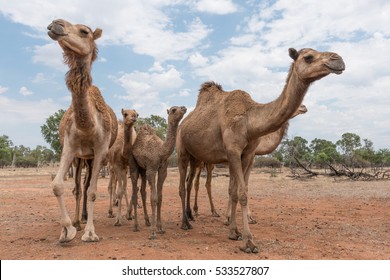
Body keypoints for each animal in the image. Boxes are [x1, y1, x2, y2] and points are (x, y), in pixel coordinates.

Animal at [47, 19, 117, 243]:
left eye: (85, 31)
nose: (55, 24)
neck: (87, 125)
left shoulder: (101, 150)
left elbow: (93, 191)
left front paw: (90, 232)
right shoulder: (69, 147)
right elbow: (58, 185)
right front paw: (67, 229)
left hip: (91, 158)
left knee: (86, 187)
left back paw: (84, 220)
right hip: (80, 159)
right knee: (78, 187)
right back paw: (78, 221)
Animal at [129, 106, 187, 240]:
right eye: (173, 110)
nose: (184, 108)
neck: (161, 152)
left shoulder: (162, 170)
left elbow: (160, 197)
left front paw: (160, 228)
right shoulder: (151, 169)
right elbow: (154, 198)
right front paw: (153, 232)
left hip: (143, 170)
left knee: (142, 191)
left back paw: (147, 221)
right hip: (134, 166)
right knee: (134, 192)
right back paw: (136, 226)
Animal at [177, 47, 344, 253]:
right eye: (308, 57)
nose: (338, 59)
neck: (250, 120)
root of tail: (183, 124)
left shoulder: (247, 154)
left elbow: (235, 191)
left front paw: (234, 231)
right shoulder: (233, 151)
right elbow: (241, 193)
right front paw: (249, 241)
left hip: (197, 157)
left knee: (190, 182)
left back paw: (192, 215)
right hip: (182, 150)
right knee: (183, 185)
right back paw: (185, 223)